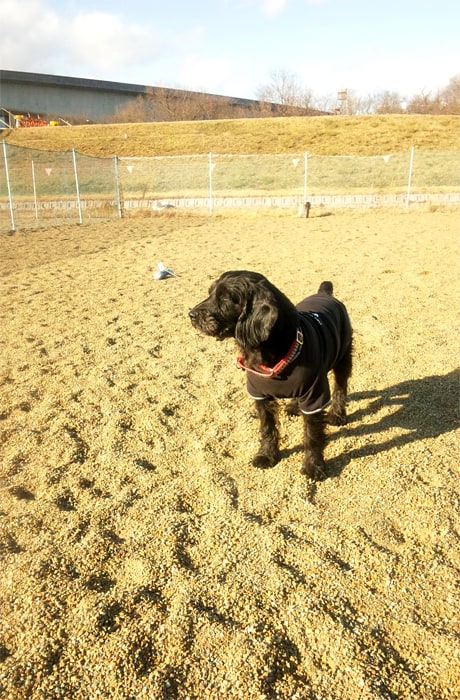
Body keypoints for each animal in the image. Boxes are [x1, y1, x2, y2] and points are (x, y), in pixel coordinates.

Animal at [189, 270, 354, 478]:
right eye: (210, 293)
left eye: (225, 298)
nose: (191, 314)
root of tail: (324, 293)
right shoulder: (260, 396)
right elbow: (267, 428)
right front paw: (266, 455)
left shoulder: (314, 396)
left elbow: (312, 435)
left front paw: (313, 466)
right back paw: (293, 406)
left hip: (343, 357)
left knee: (341, 387)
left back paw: (337, 415)